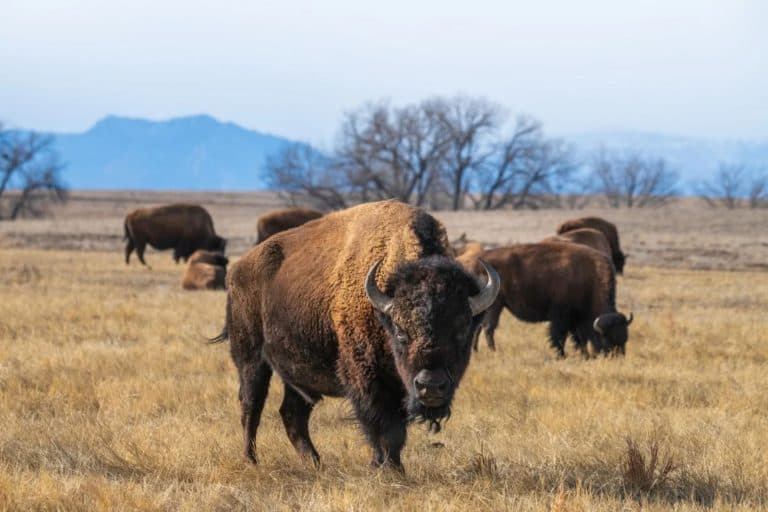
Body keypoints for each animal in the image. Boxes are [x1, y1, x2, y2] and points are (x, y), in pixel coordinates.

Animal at [213, 199, 500, 470]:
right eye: (400, 332)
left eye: (462, 331)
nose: (430, 385)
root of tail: (238, 269)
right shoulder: (366, 378)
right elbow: (383, 427)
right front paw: (386, 467)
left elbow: (395, 430)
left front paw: (392, 467)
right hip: (251, 358)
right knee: (251, 406)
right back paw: (251, 460)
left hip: (298, 374)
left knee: (292, 414)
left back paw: (315, 463)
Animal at [475, 242, 632, 357]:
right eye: (607, 338)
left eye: (625, 338)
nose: (617, 357)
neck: (590, 280)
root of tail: (481, 261)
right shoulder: (561, 317)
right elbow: (559, 336)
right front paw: (562, 355)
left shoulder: (575, 319)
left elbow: (578, 338)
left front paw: (584, 355)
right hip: (495, 305)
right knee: (488, 328)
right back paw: (494, 351)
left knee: (478, 327)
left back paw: (476, 350)